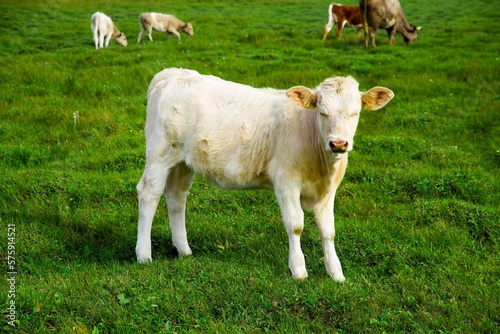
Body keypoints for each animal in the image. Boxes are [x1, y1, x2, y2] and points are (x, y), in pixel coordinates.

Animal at [136, 66, 394, 280]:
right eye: (322, 112)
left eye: (355, 113)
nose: (339, 143)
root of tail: (171, 73)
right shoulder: (286, 182)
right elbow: (295, 225)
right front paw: (298, 270)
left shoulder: (328, 191)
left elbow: (328, 230)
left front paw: (336, 272)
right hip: (160, 154)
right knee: (149, 194)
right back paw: (144, 254)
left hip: (183, 163)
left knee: (176, 198)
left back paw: (184, 249)